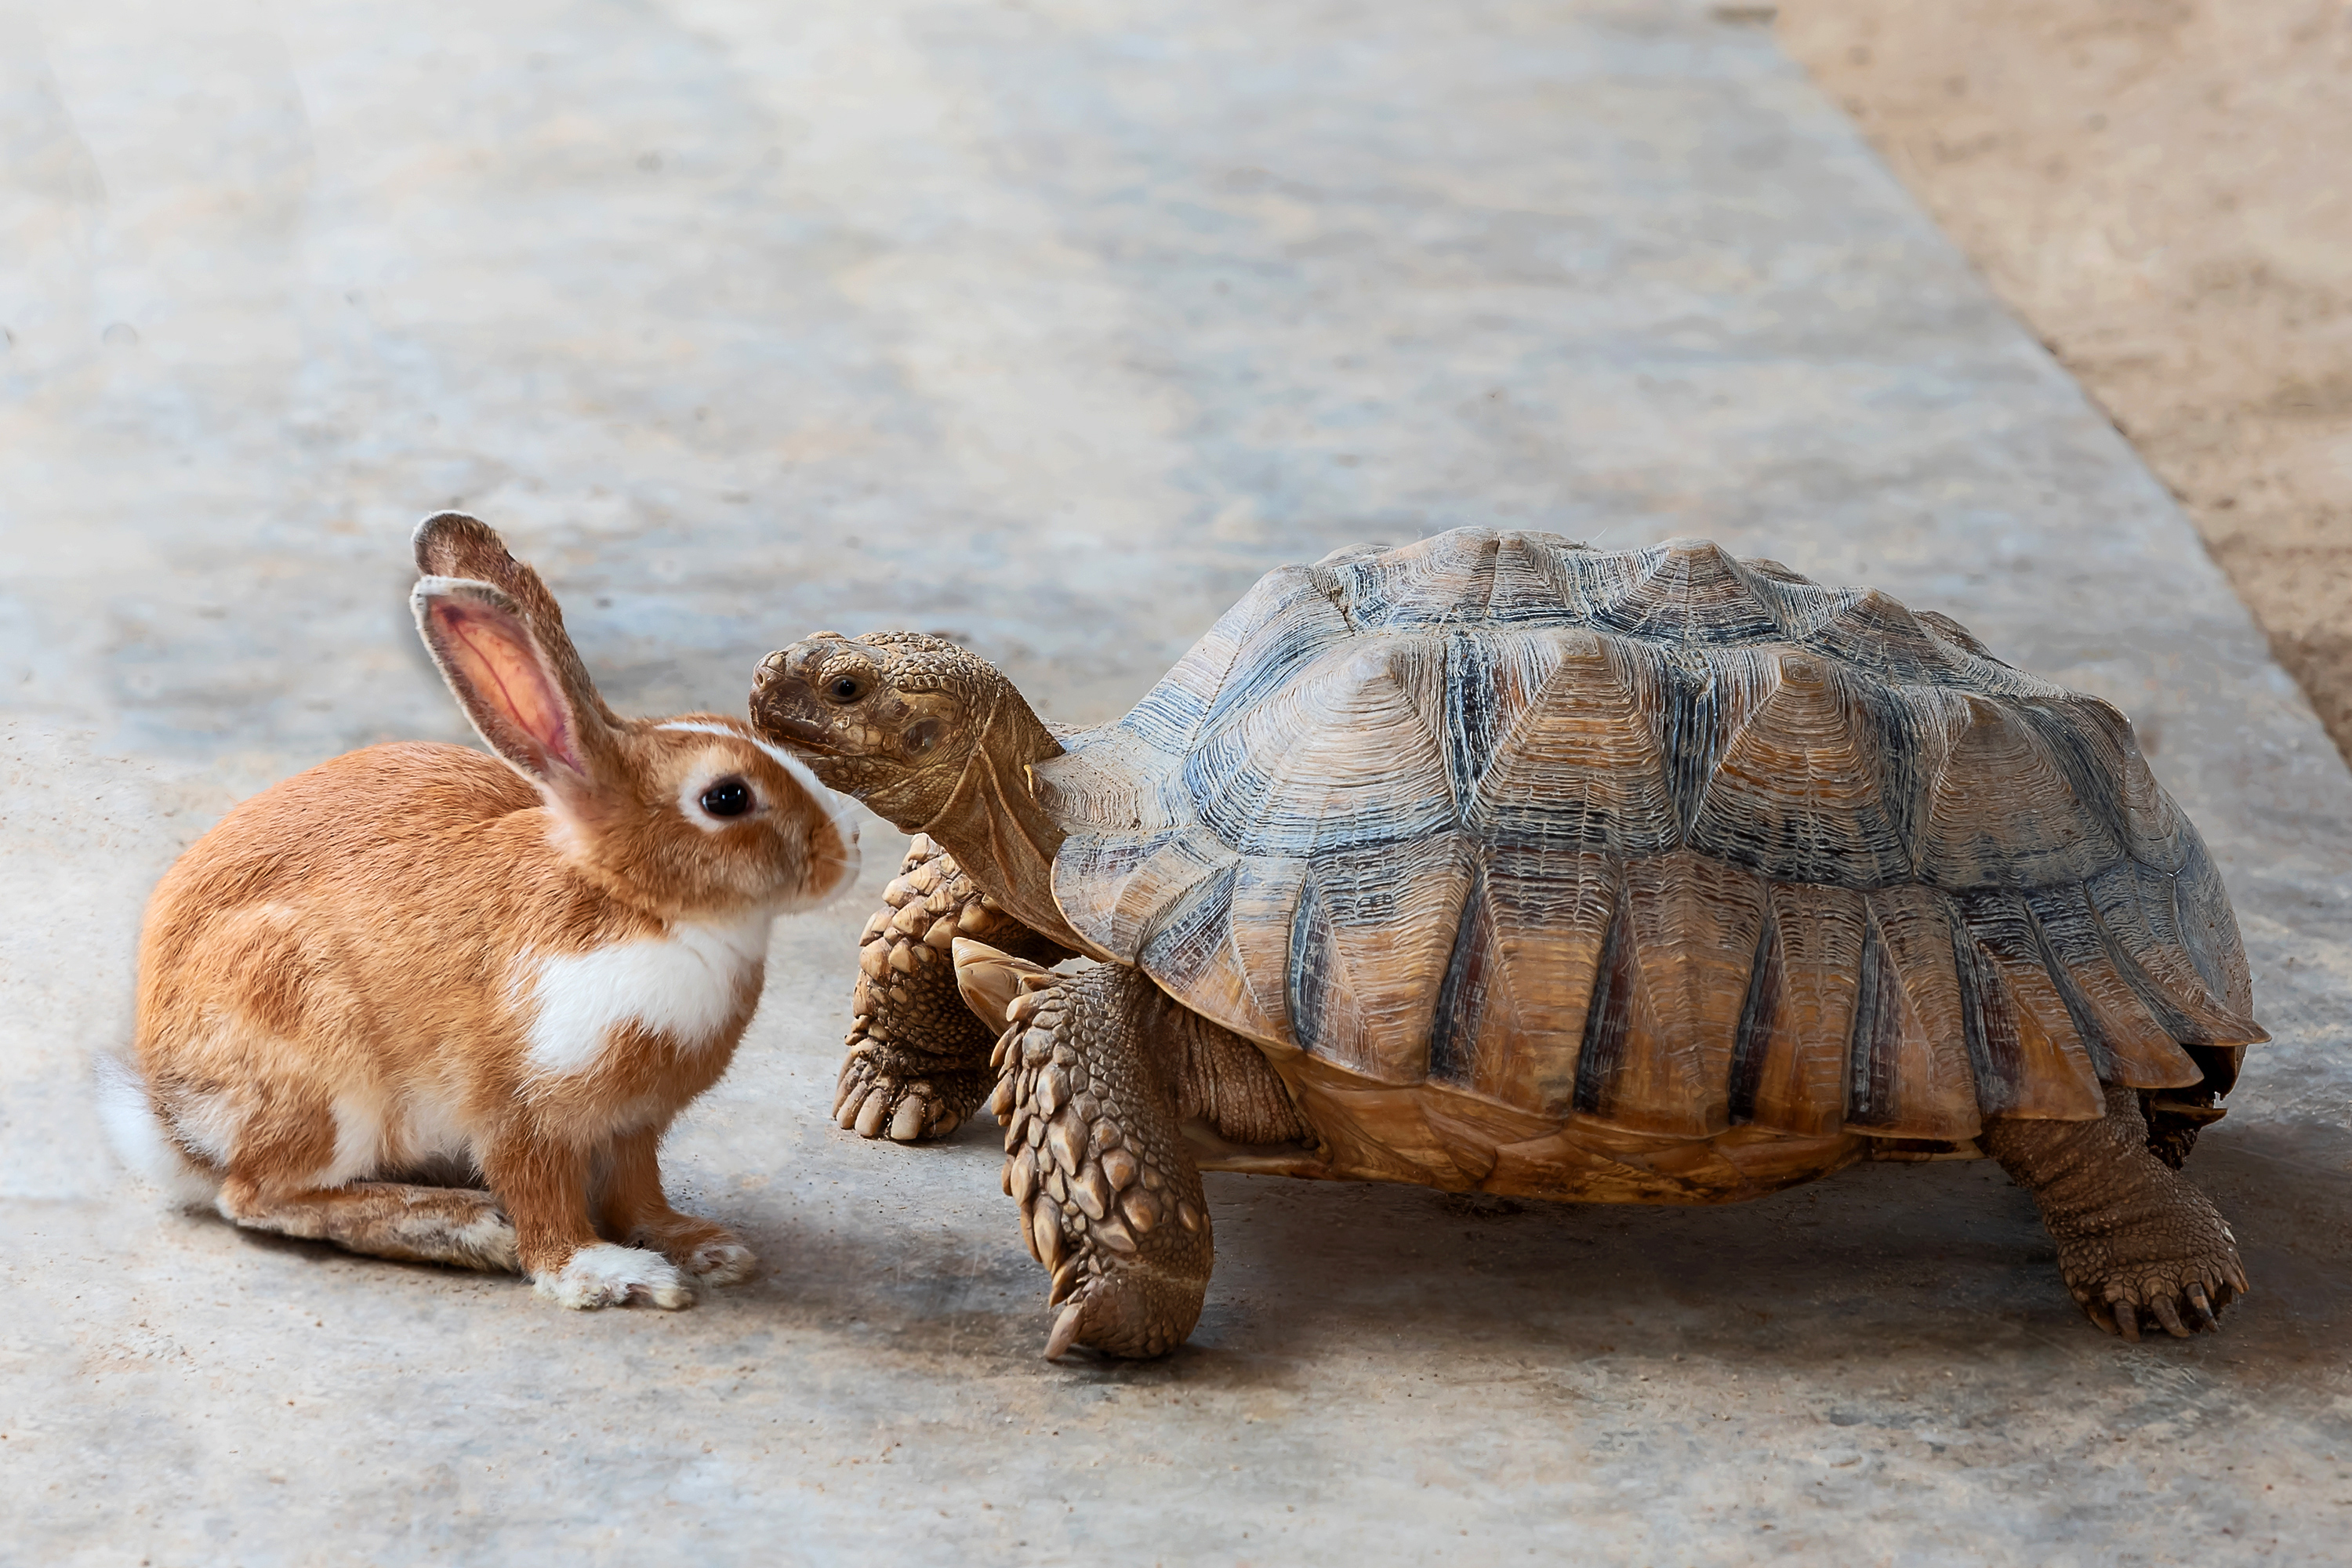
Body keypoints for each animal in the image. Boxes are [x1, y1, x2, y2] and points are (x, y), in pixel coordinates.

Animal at [101, 517, 861, 1316]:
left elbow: (639, 1192)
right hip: (322, 1070)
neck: (640, 909)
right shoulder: (519, 1109)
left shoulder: (634, 1125)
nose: (848, 852)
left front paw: (703, 1247)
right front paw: (605, 1274)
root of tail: (171, 1121)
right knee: (256, 1195)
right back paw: (463, 1227)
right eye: (727, 798)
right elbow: (544, 1204)